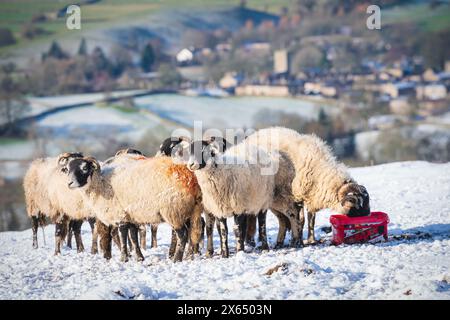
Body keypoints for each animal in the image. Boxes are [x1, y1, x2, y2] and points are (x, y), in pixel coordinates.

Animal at [65, 155, 202, 262]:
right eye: (67, 169)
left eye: (84, 168)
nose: (70, 183)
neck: (100, 183)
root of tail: (191, 178)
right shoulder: (131, 216)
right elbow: (133, 238)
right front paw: (139, 257)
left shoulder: (120, 215)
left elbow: (123, 236)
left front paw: (123, 258)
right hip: (190, 211)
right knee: (192, 233)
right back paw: (189, 256)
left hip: (174, 211)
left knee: (183, 235)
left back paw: (177, 259)